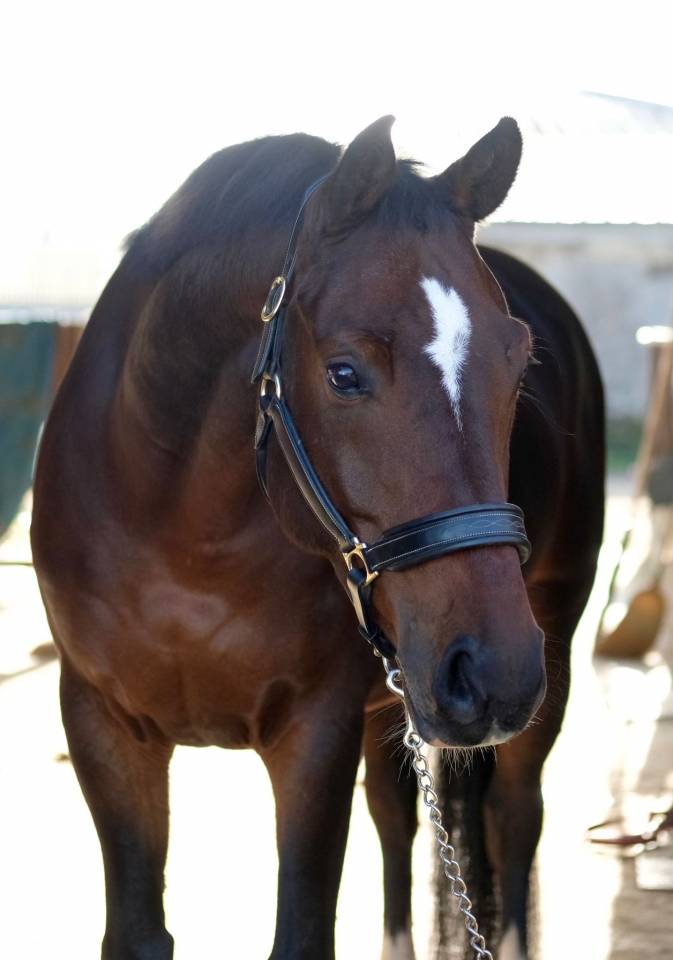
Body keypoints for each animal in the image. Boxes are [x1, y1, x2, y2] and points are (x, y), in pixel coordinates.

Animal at [31, 115, 604, 960]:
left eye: (518, 363)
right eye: (342, 374)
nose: (493, 673)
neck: (182, 538)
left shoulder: (313, 737)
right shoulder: (104, 726)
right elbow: (137, 931)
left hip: (545, 655)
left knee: (513, 815)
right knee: (397, 818)